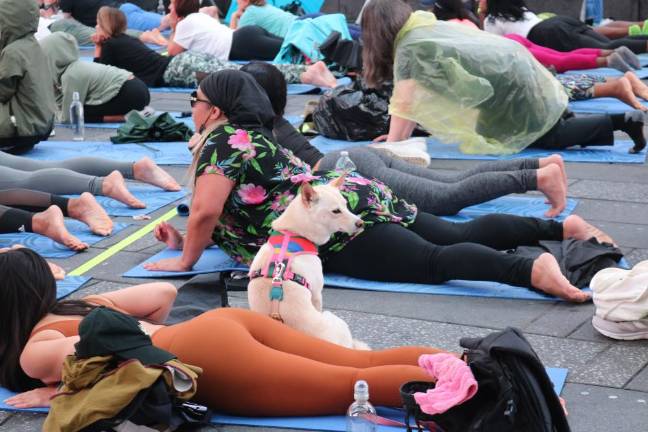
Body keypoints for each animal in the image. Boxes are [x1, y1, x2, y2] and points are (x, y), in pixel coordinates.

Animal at [248, 177, 370, 350]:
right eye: (336, 211)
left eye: (346, 205)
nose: (361, 223)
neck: (293, 233)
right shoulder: (317, 293)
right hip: (333, 318)